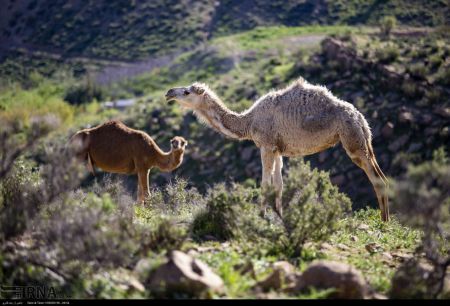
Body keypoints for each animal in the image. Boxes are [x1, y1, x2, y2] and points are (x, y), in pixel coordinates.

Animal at [165, 78, 390, 222]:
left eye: (187, 91)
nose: (169, 93)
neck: (248, 122)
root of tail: (359, 117)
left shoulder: (266, 146)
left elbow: (265, 184)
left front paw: (262, 216)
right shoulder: (279, 150)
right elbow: (279, 184)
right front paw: (280, 217)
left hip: (352, 141)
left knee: (376, 178)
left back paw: (384, 223)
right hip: (364, 141)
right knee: (381, 176)